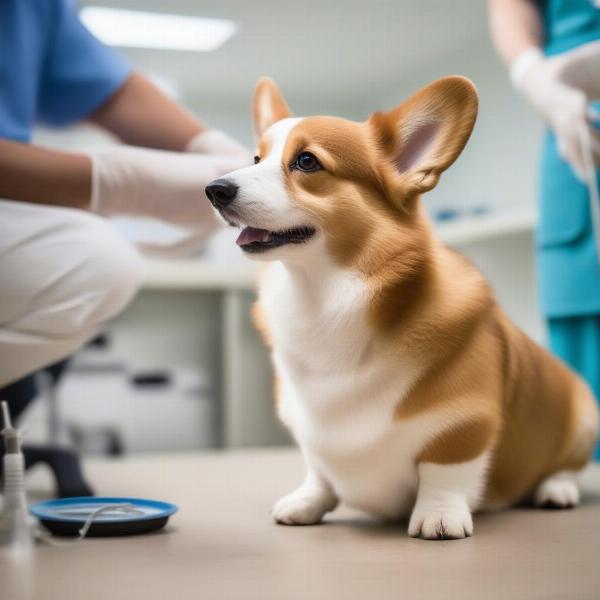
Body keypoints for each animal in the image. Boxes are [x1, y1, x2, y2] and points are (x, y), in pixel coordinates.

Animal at [204, 75, 596, 540]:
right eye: (256, 158)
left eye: (306, 161)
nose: (214, 190)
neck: (322, 297)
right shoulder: (310, 434)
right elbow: (319, 471)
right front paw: (305, 503)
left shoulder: (466, 422)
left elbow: (444, 471)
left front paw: (439, 517)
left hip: (583, 416)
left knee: (568, 468)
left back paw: (556, 490)